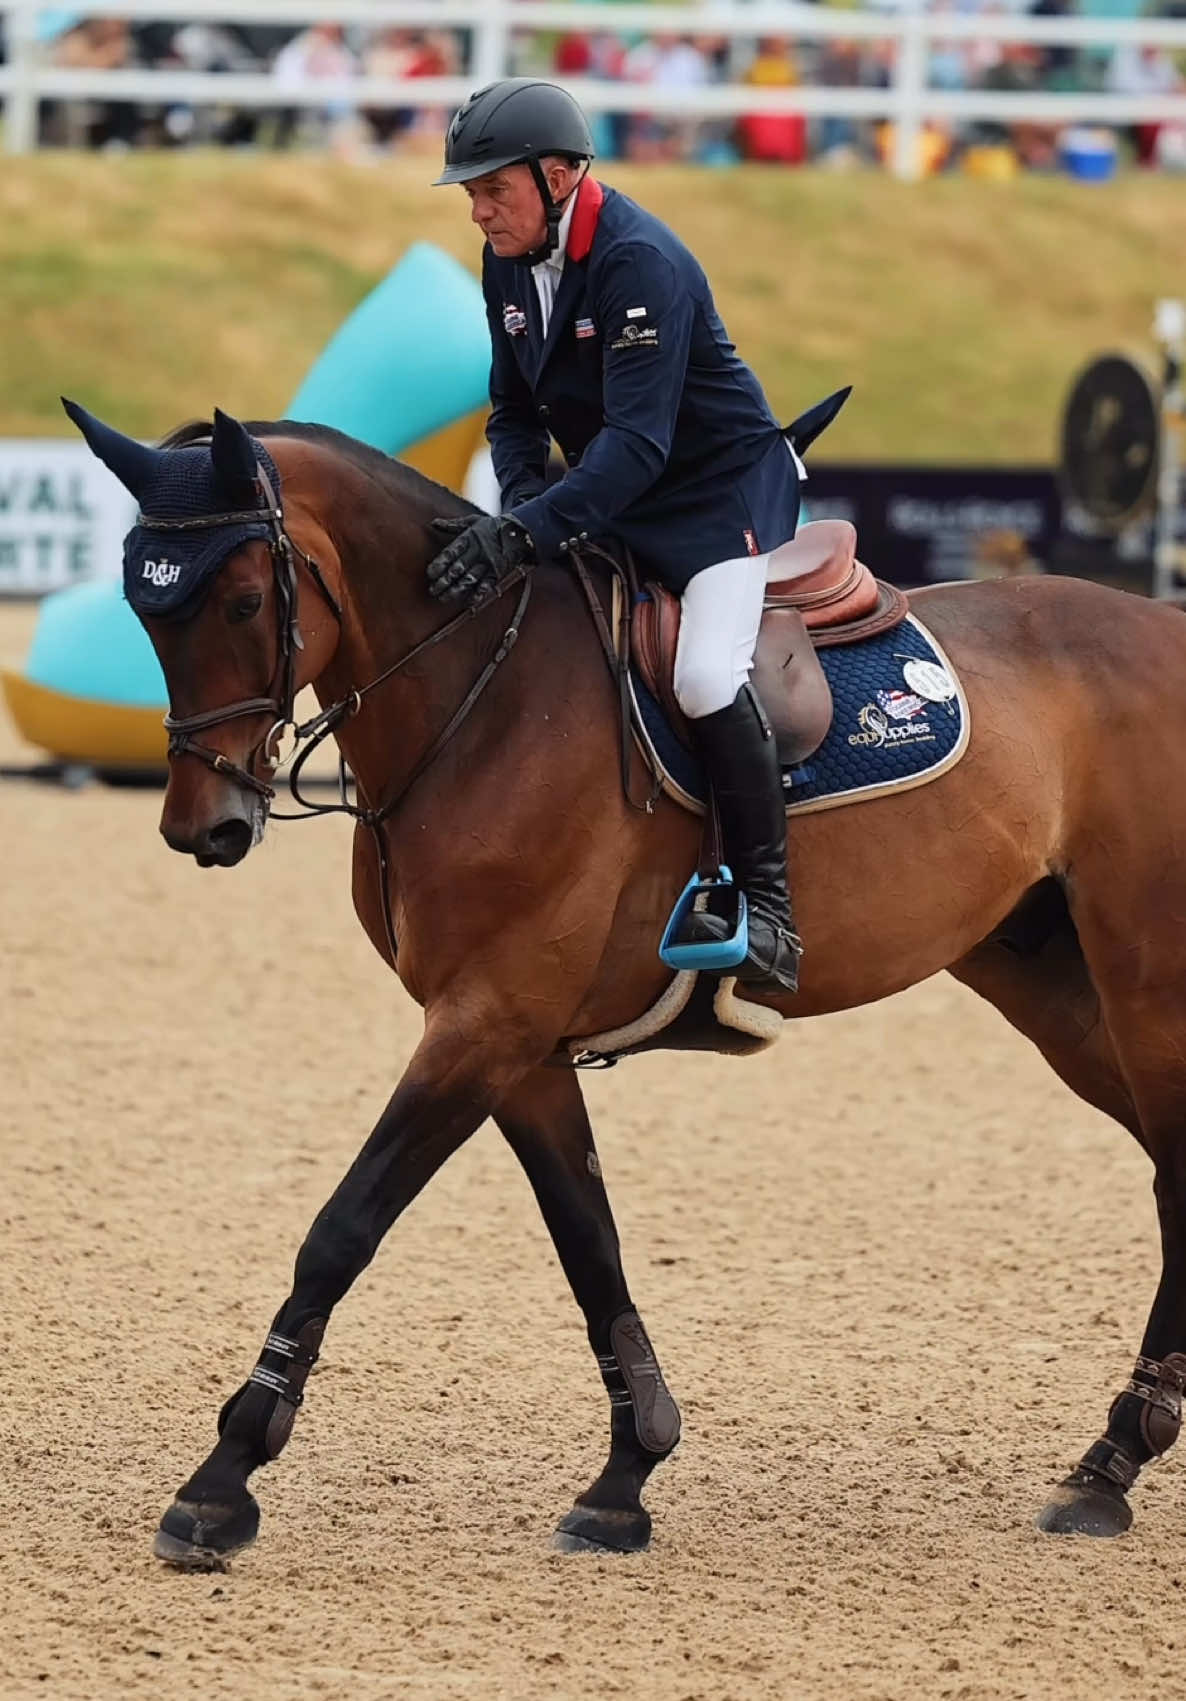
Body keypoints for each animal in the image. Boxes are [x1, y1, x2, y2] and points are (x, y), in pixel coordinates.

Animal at [65, 401, 1186, 1569]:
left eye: (244, 600)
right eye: (144, 611)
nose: (204, 828)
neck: (482, 696)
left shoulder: (484, 1024)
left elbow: (341, 1229)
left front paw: (222, 1478)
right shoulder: (516, 1045)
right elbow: (588, 1243)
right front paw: (626, 1472)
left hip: (1146, 985)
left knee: (1179, 1174)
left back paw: (1114, 1459)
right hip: (1054, 989)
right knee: (1167, 1171)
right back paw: (1111, 1461)